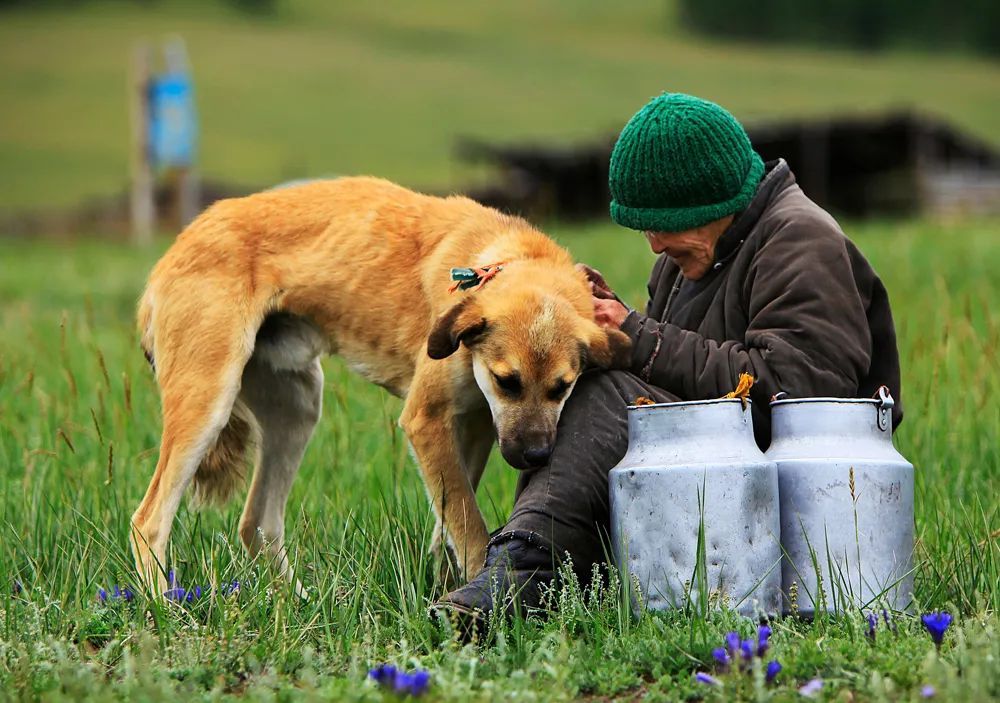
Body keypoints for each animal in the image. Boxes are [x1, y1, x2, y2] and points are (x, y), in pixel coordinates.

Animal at [131, 179, 632, 596]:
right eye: (507, 382)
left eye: (562, 388)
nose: (534, 457)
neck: (501, 261)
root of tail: (174, 249)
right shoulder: (427, 420)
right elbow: (468, 526)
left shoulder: (474, 425)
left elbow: (449, 522)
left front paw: (447, 585)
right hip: (208, 404)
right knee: (148, 521)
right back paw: (167, 610)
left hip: (297, 409)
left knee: (257, 524)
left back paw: (303, 603)